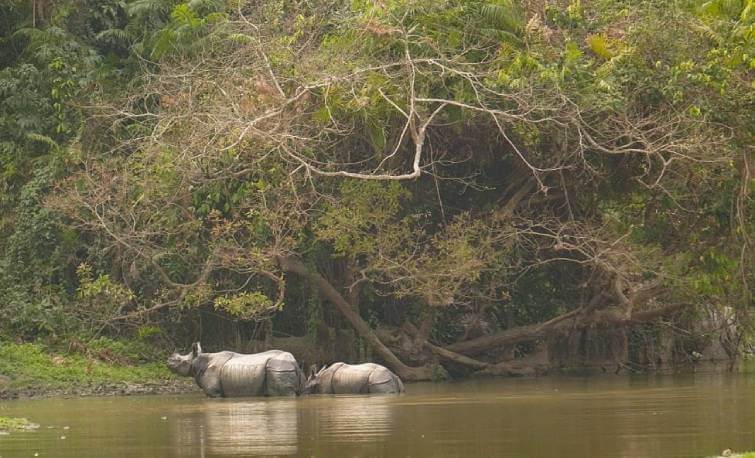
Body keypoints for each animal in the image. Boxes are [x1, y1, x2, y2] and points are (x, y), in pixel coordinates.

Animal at [168, 344, 304, 398]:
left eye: (182, 361)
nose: (168, 361)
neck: (199, 361)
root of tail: (294, 362)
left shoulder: (214, 393)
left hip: (279, 369)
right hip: (287, 369)